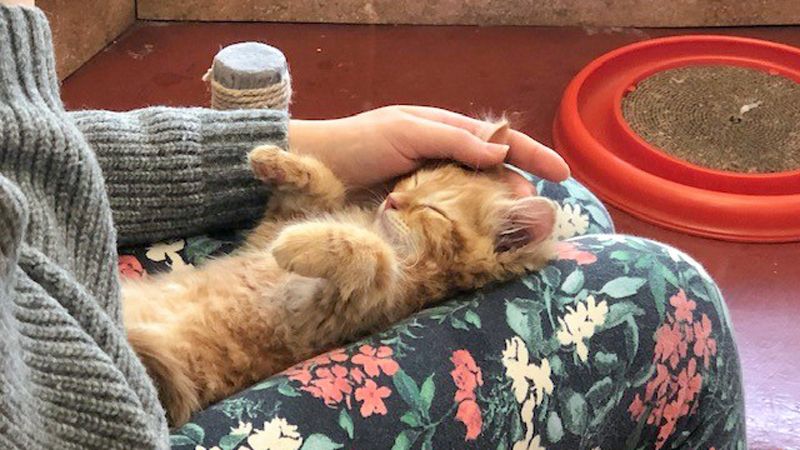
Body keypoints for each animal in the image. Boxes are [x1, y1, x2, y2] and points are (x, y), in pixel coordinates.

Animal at [123, 147, 556, 426]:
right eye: (412, 181)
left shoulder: (338, 308)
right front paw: (273, 158)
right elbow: (322, 187)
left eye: (432, 209)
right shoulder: (276, 227)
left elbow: (372, 255)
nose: (392, 199)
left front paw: (297, 244)